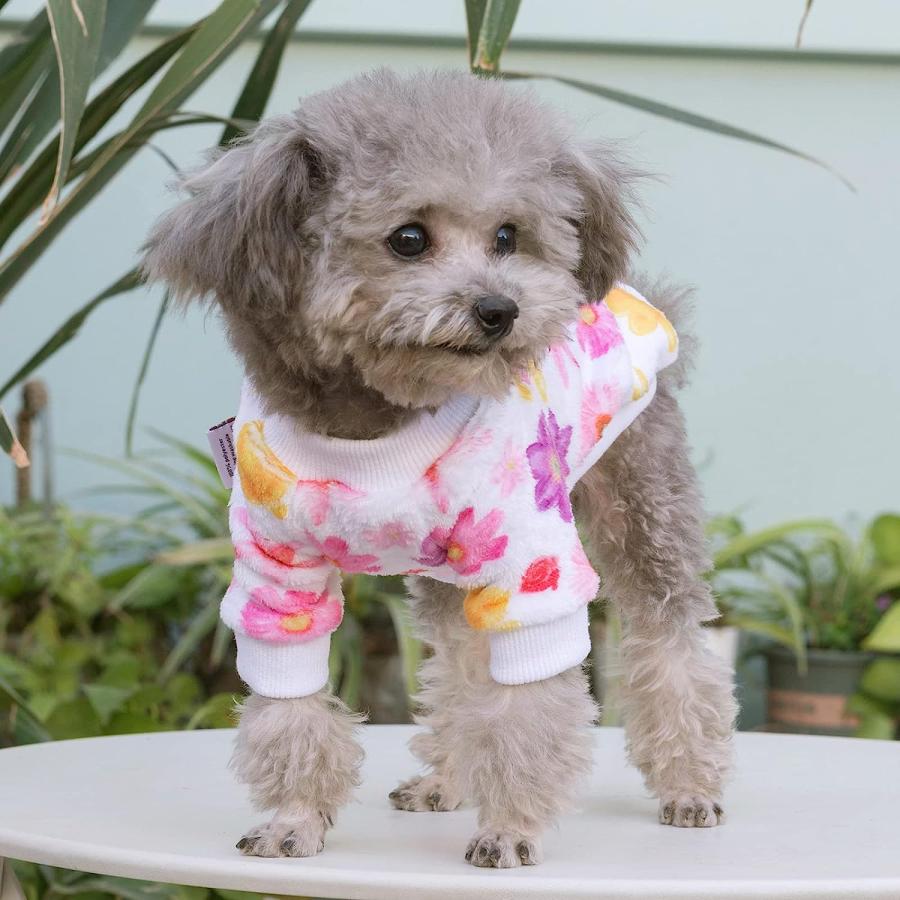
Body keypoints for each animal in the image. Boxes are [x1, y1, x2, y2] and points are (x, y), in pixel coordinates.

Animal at [142, 69, 736, 868]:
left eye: (508, 236)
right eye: (409, 239)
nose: (499, 308)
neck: (378, 425)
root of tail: (637, 299)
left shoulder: (529, 567)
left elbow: (528, 709)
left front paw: (509, 829)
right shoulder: (278, 579)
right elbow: (291, 708)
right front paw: (294, 821)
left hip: (646, 506)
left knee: (672, 646)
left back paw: (689, 785)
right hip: (449, 572)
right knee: (459, 667)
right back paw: (444, 782)